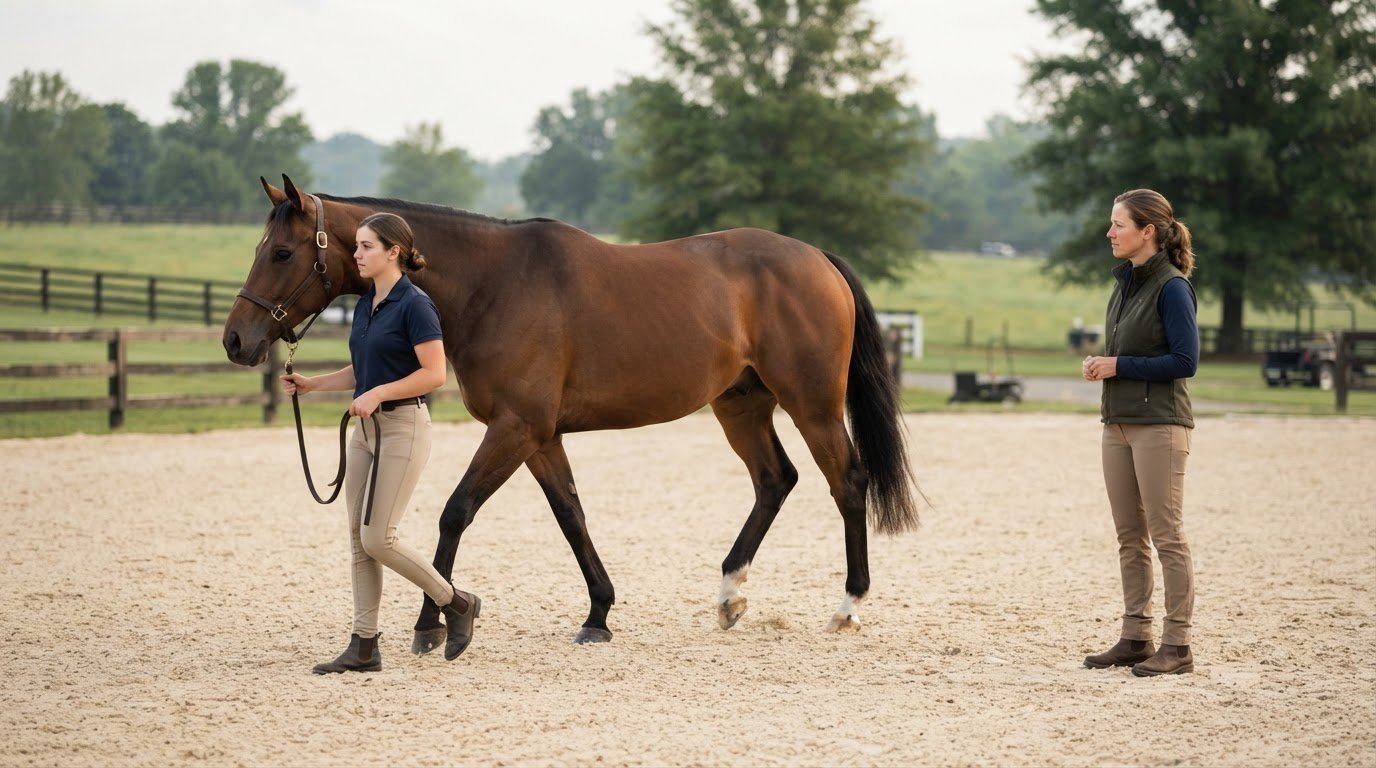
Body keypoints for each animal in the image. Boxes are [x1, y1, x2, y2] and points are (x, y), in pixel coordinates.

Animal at [223, 175, 919, 652]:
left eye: (281, 253)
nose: (236, 340)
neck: (491, 284)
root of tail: (818, 258)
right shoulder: (539, 436)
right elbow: (571, 515)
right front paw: (598, 615)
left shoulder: (516, 428)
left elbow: (455, 512)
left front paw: (432, 625)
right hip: (741, 406)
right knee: (776, 480)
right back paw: (730, 595)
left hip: (812, 405)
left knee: (846, 482)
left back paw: (848, 606)